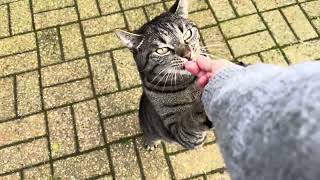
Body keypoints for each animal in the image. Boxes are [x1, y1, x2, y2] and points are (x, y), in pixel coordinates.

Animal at [115, 0, 212, 150]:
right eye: (162, 50)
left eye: (187, 34)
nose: (188, 55)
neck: (187, 81)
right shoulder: (178, 131)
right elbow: (189, 123)